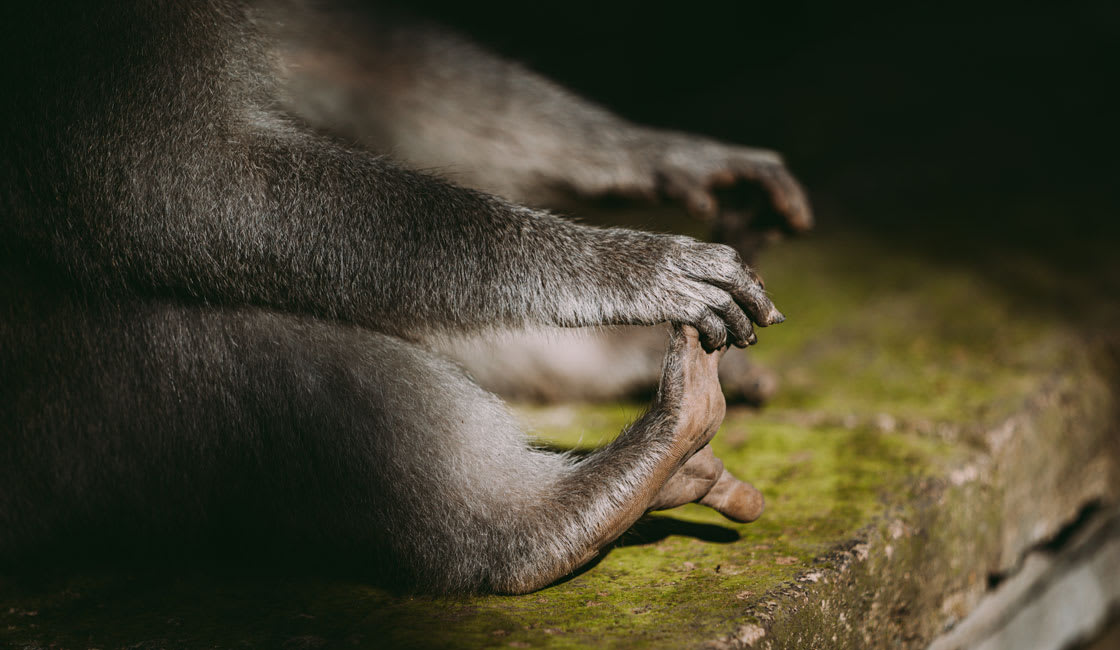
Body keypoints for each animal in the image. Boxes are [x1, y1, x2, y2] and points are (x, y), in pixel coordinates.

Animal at [2, 0, 806, 591]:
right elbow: (169, 176)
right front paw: (619, 266)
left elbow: (326, 45)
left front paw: (644, 150)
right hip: (56, 423)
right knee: (237, 353)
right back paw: (545, 519)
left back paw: (607, 377)